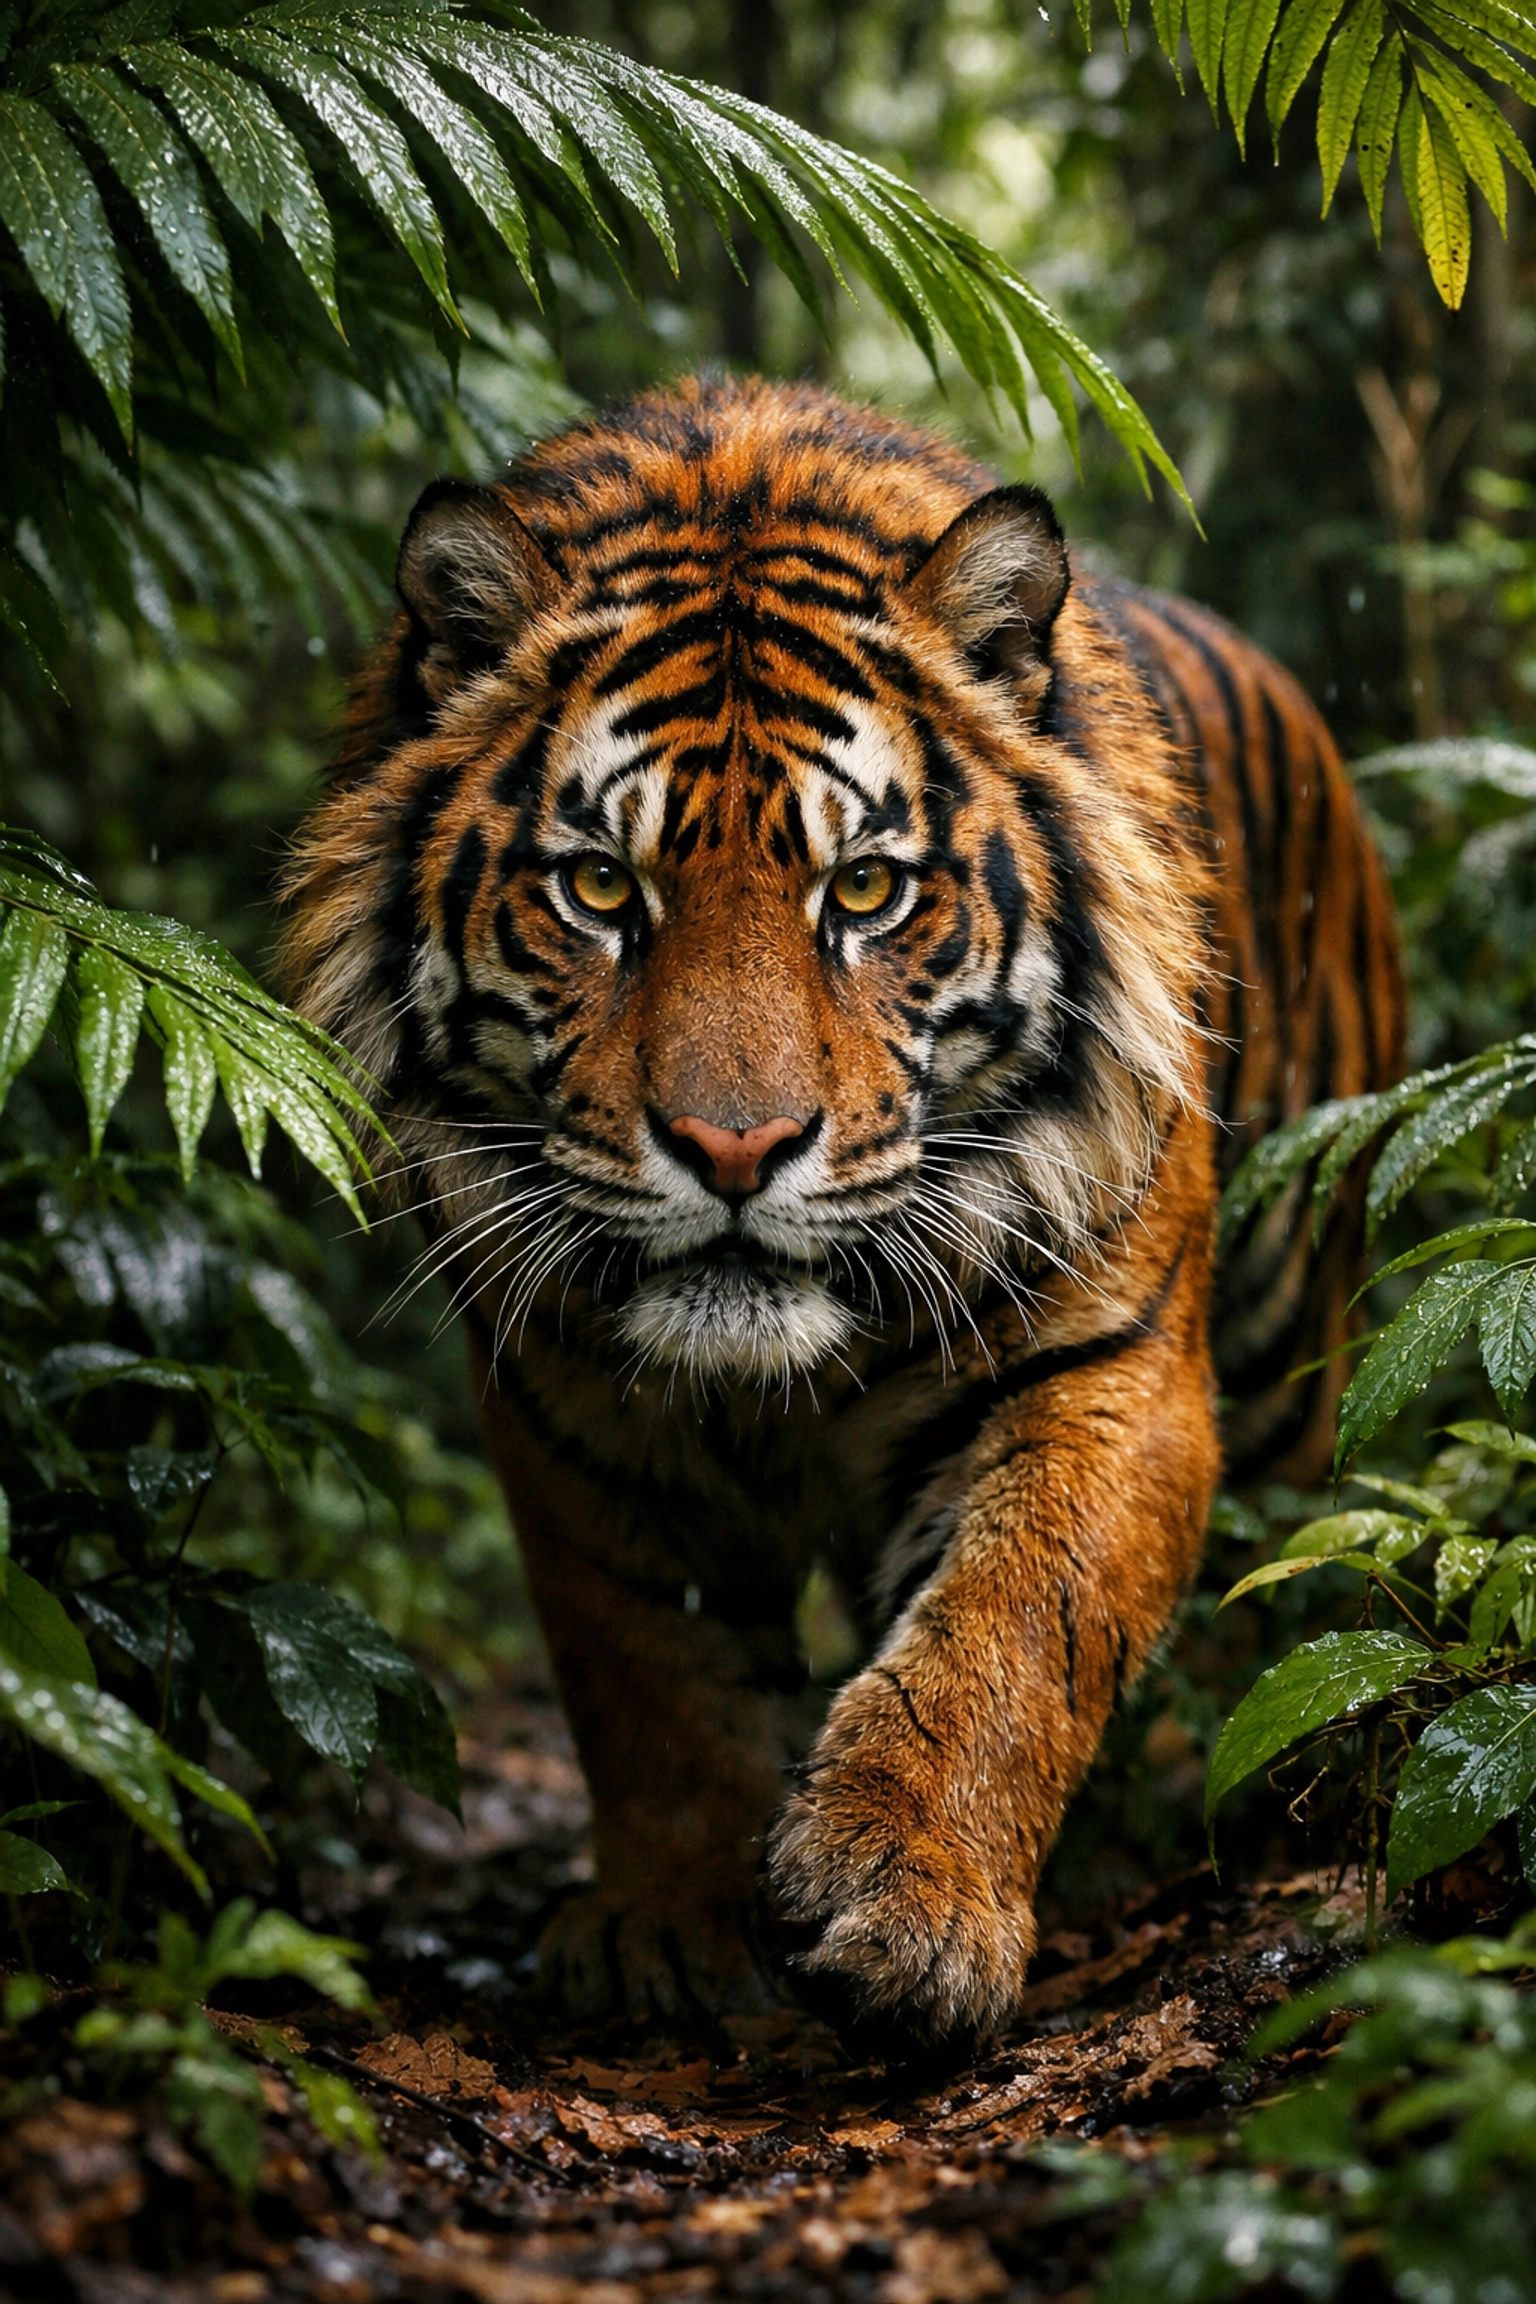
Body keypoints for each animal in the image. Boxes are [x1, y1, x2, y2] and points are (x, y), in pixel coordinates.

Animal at [282, 375, 1403, 2054]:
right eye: (600, 888)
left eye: (866, 891)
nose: (733, 1150)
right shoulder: (571, 1415)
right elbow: (649, 1673)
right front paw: (672, 1928)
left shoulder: (1104, 1367)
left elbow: (1016, 1621)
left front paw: (910, 1895)